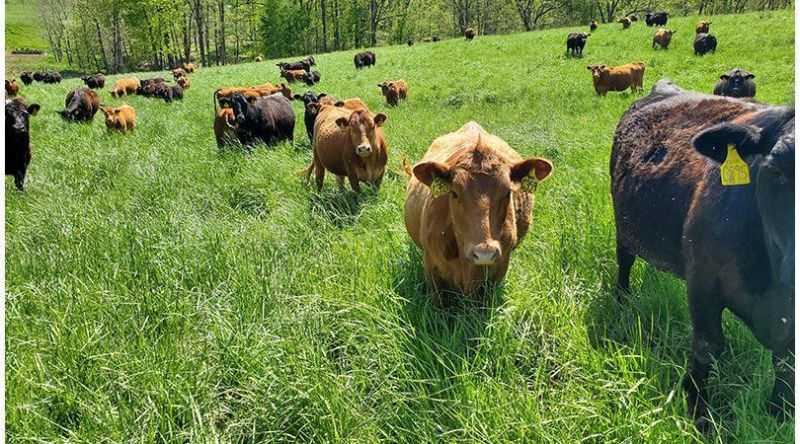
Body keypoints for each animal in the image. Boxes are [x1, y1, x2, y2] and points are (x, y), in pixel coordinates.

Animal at [611, 78, 794, 433]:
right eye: (778, 170)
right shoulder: (702, 282)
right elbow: (707, 348)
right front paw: (699, 413)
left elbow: (787, 363)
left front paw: (780, 413)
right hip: (623, 225)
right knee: (624, 260)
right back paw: (622, 298)